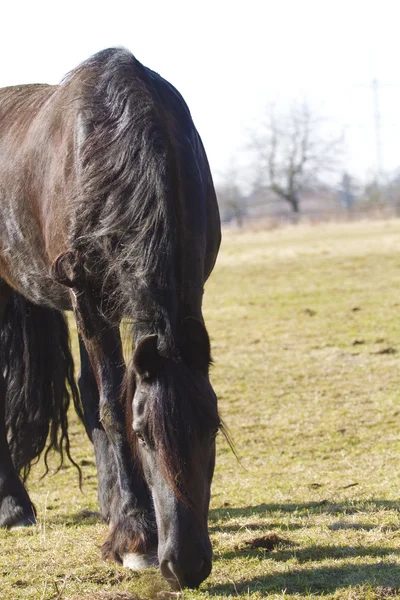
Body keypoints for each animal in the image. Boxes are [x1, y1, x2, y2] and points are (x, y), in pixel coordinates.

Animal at [0, 48, 222, 592]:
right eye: (144, 435)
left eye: (212, 428)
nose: (185, 565)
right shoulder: (90, 303)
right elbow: (109, 408)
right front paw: (137, 534)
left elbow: (98, 396)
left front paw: (119, 514)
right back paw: (14, 507)